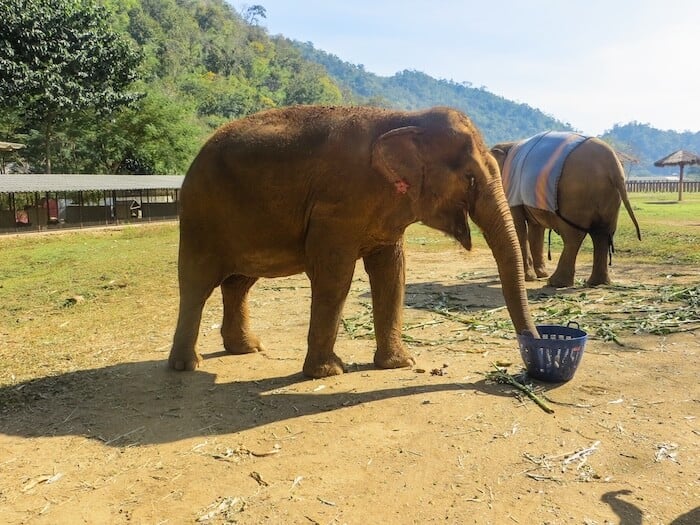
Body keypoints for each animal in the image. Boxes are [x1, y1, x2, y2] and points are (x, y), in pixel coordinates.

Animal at [169, 105, 538, 379]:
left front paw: (400, 364)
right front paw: (328, 372)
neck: (405, 118)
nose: (532, 355)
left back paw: (247, 348)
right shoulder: (335, 208)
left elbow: (392, 273)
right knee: (197, 284)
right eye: (470, 178)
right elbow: (335, 276)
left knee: (238, 283)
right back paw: (187, 365)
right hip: (200, 217)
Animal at [491, 132, 642, 288]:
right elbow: (536, 229)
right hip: (608, 194)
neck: (509, 144)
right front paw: (540, 275)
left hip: (575, 195)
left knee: (574, 236)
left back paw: (556, 283)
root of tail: (613, 163)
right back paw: (595, 283)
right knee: (602, 234)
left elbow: (519, 227)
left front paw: (530, 278)